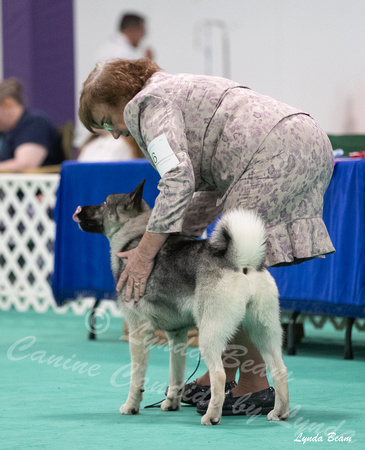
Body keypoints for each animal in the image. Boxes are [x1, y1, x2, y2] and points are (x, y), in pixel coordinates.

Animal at [73, 180, 288, 426]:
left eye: (105, 203)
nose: (80, 209)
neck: (134, 235)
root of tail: (240, 261)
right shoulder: (177, 335)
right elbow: (176, 375)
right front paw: (171, 404)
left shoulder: (138, 332)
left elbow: (136, 377)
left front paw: (131, 406)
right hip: (263, 331)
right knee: (280, 369)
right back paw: (279, 412)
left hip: (210, 333)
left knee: (219, 374)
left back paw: (212, 415)